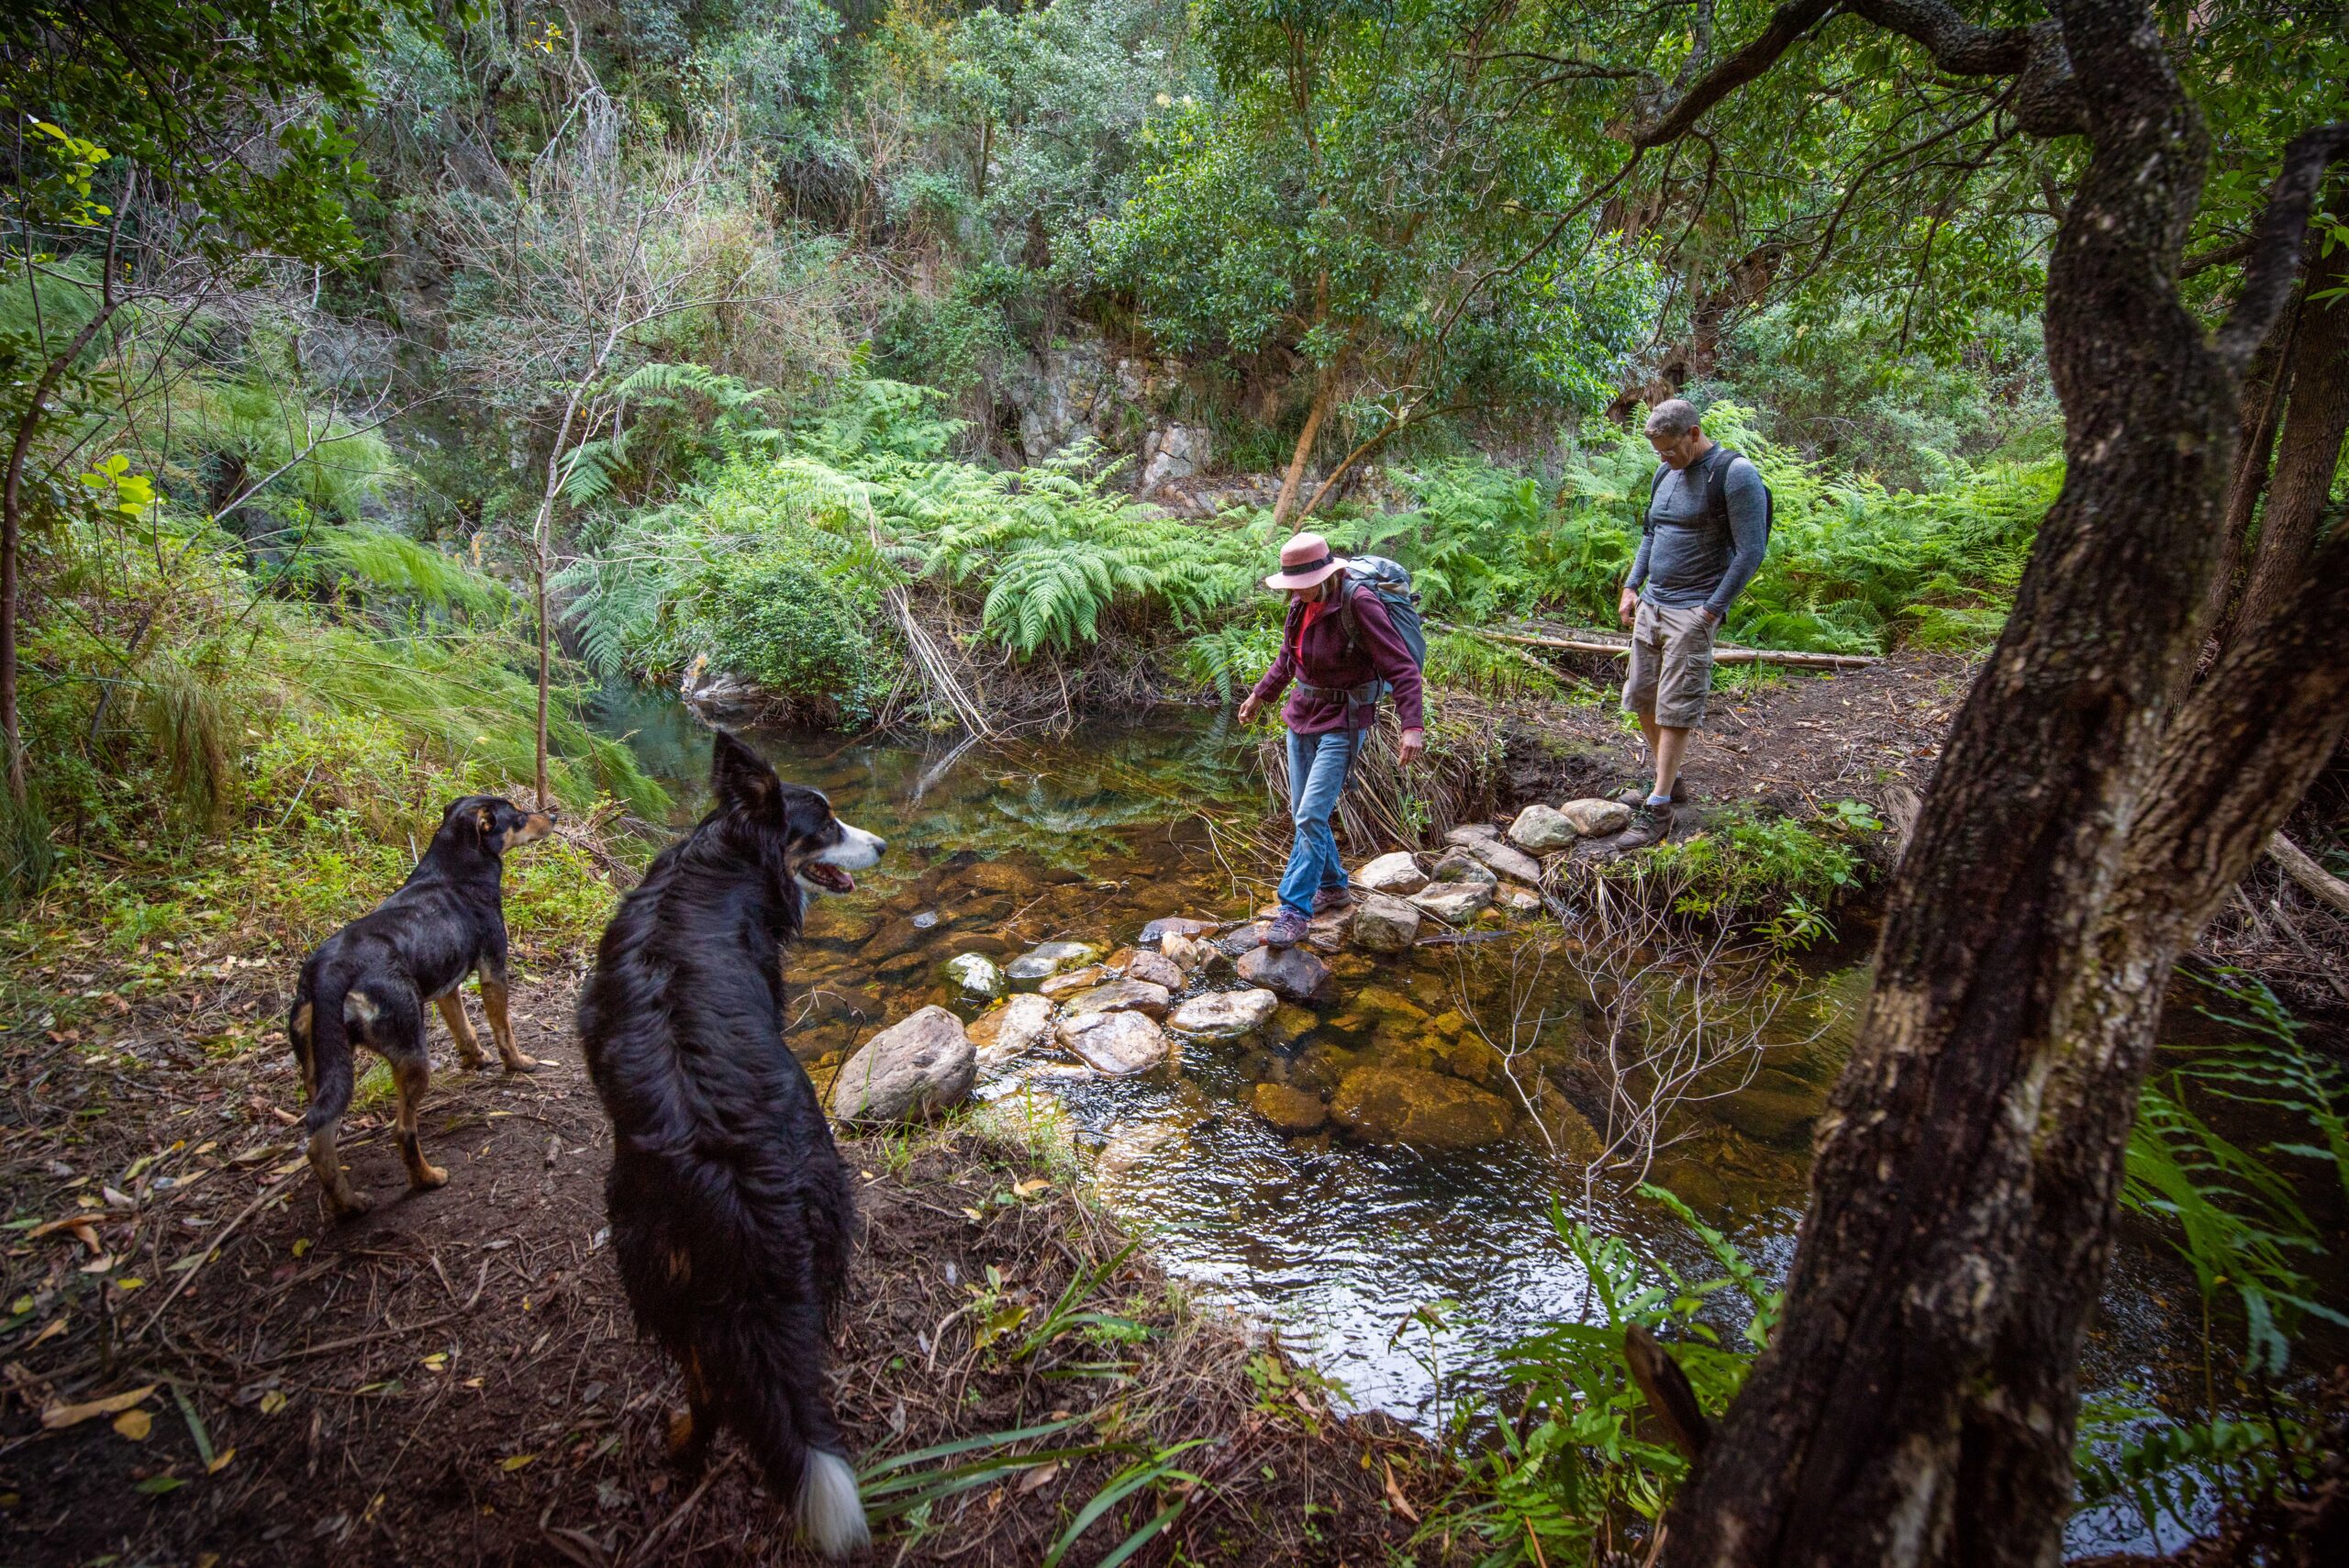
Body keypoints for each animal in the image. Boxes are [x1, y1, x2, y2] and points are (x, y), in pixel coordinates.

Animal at [286, 797, 551, 1211]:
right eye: (520, 817)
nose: (553, 814)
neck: (453, 870)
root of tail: (330, 970)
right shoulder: (493, 968)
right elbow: (502, 1029)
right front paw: (518, 1063)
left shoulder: (446, 985)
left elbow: (463, 1027)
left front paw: (475, 1059)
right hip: (411, 1052)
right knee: (402, 1130)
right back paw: (427, 1179)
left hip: (322, 1065)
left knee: (319, 1138)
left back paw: (348, 1203)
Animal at [582, 732, 883, 1558]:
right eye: (827, 823)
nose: (882, 842)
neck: (726, 855)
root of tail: (733, 1178)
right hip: (817, 1198)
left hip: (651, 1259)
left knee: (709, 1378)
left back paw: (684, 1444)